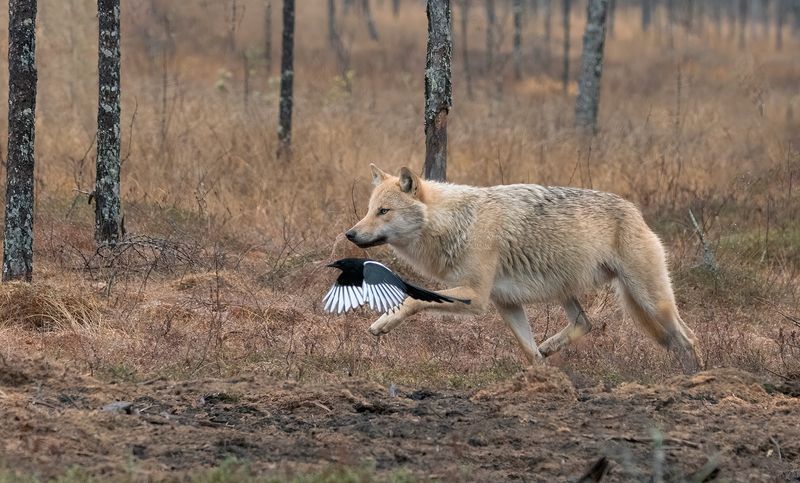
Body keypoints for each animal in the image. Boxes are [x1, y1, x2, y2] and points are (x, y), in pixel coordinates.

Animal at [346, 165, 702, 374]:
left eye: (383, 211)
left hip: (651, 302)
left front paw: (383, 323)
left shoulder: (477, 299)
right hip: (570, 292)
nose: (350, 234)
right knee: (585, 322)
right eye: (369, 210)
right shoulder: (506, 303)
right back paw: (551, 347)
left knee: (688, 337)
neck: (455, 222)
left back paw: (697, 377)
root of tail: (635, 211)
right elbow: (529, 353)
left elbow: (412, 298)